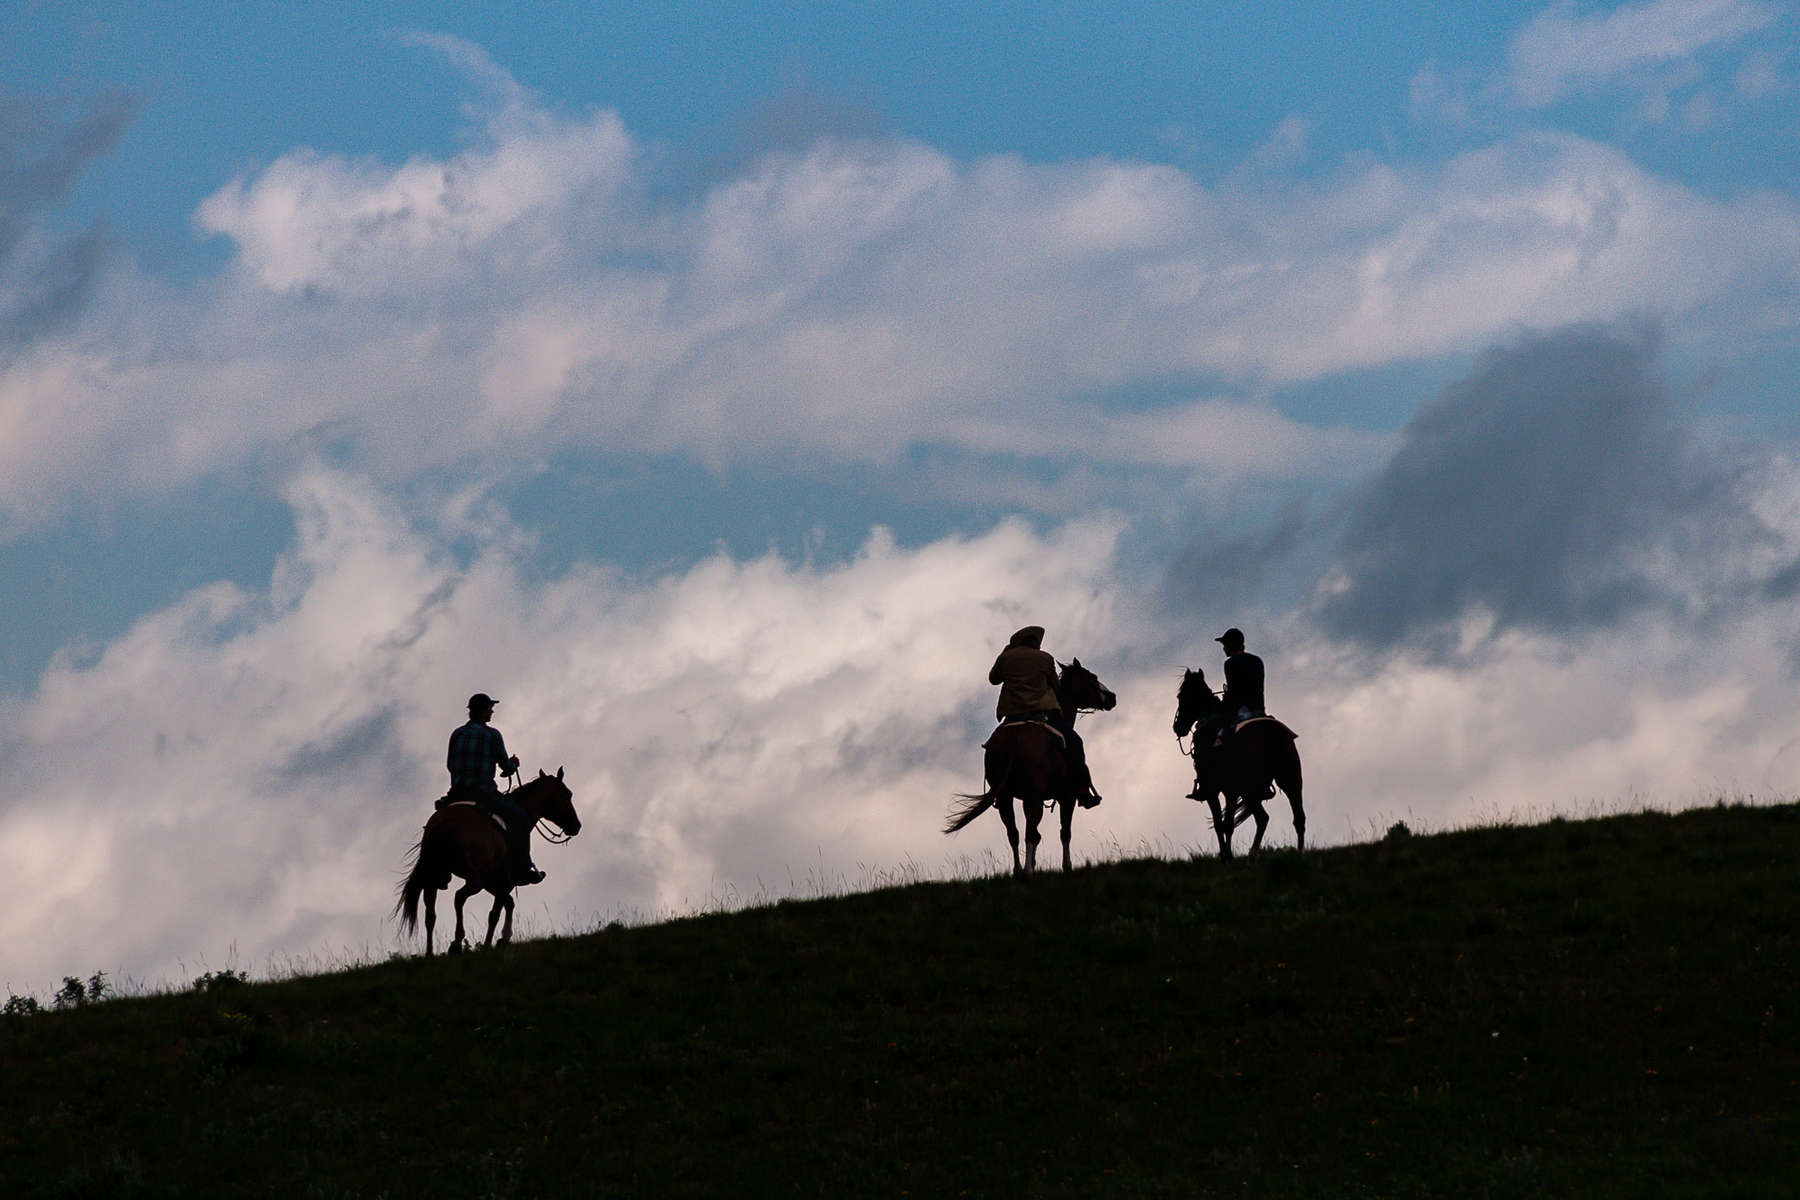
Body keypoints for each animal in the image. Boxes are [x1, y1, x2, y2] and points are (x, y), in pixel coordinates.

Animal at [396, 770, 583, 957]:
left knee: (430, 914)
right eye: (567, 794)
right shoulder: (504, 882)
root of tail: (446, 822)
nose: (576, 826)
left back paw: (430, 953)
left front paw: (503, 938)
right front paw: (491, 943)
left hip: (435, 877)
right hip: (475, 880)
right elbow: (495, 913)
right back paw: (457, 942)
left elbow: (508, 903)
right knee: (459, 897)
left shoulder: (493, 883)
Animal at [950, 658, 1116, 874]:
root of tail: (1013, 738)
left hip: (1005, 797)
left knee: (1014, 833)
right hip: (1033, 797)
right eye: (1092, 678)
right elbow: (1065, 832)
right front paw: (1067, 866)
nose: (1112, 697)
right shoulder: (1067, 797)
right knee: (1029, 831)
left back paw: (1019, 870)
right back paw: (1028, 870)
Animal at [1173, 672, 1303, 859]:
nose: (1177, 727)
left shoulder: (1216, 790)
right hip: (1287, 780)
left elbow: (1221, 824)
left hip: (1245, 788)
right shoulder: (1232, 790)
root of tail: (1270, 734)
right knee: (1293, 818)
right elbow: (1226, 824)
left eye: (1181, 696)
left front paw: (1226, 856)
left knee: (1255, 819)